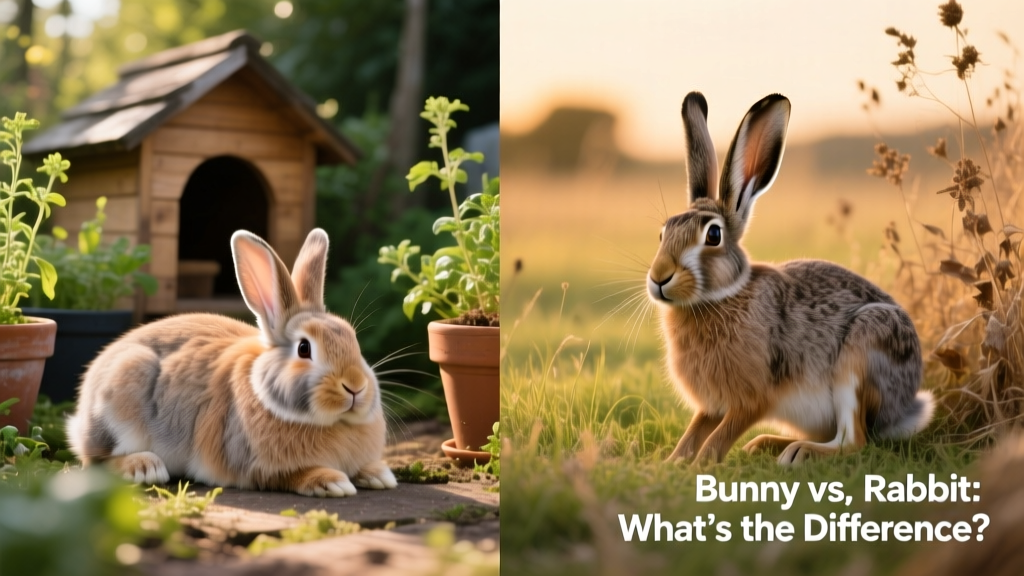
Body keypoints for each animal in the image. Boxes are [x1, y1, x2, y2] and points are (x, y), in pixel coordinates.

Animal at [66, 228, 397, 496]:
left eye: (353, 339)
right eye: (304, 348)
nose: (355, 387)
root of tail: (79, 418)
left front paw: (380, 475)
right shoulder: (257, 467)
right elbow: (293, 475)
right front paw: (333, 481)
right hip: (123, 392)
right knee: (97, 461)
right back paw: (145, 466)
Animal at [649, 92, 934, 465]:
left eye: (713, 235)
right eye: (663, 233)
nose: (658, 278)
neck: (720, 298)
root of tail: (905, 408)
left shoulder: (752, 398)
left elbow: (721, 435)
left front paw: (701, 465)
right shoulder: (711, 405)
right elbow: (695, 431)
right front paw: (670, 464)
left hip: (862, 356)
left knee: (853, 441)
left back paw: (797, 453)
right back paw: (765, 445)